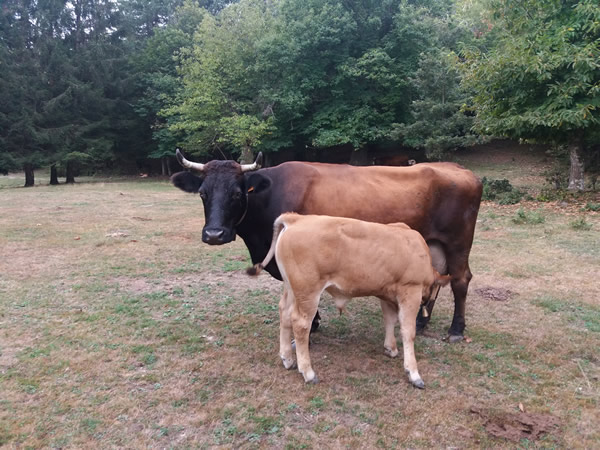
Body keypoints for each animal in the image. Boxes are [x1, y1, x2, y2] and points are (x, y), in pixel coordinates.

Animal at [248, 214, 450, 386]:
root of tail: (296, 218)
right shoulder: (411, 291)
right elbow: (408, 332)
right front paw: (413, 373)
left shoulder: (387, 293)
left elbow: (389, 320)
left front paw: (390, 348)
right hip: (308, 293)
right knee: (300, 323)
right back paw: (308, 372)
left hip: (291, 290)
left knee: (284, 313)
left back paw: (287, 359)